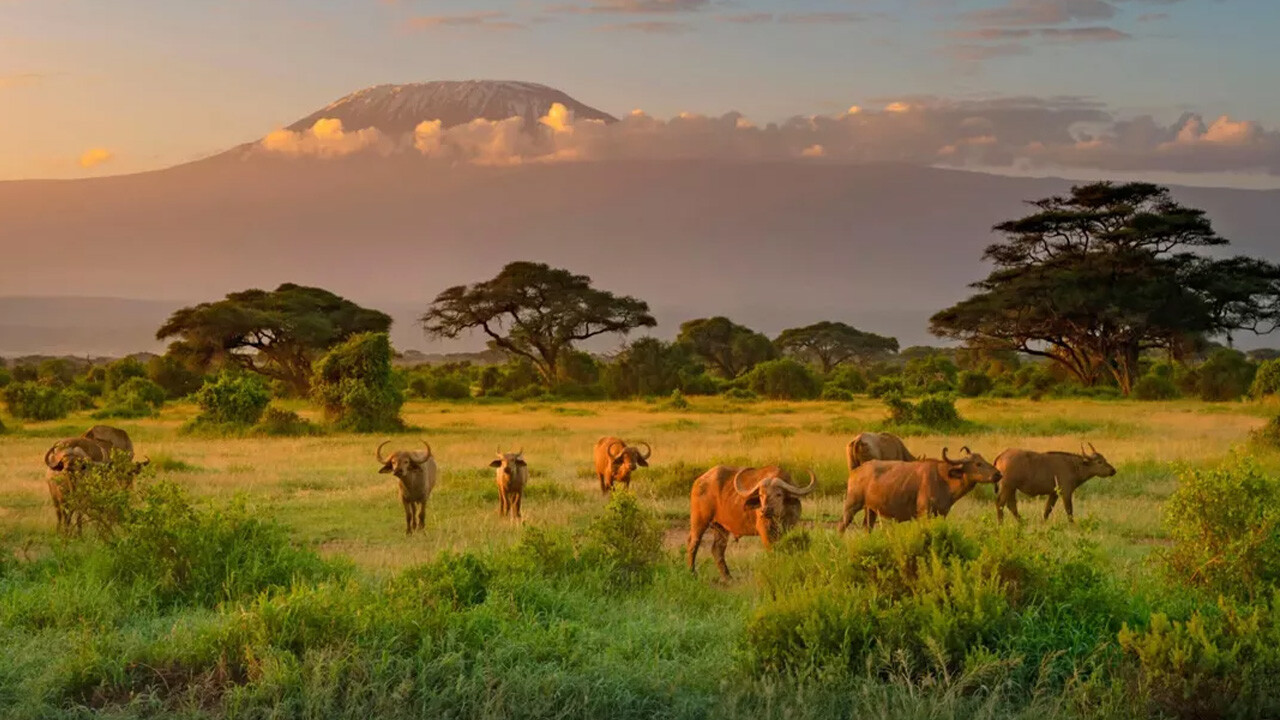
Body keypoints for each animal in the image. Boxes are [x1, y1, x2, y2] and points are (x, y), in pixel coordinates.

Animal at [686, 466, 814, 576]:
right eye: (761, 494)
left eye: (779, 494)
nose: (765, 510)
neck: (779, 515)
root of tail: (699, 481)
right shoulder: (764, 530)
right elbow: (772, 550)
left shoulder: (788, 528)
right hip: (699, 521)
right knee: (693, 544)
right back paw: (692, 572)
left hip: (720, 527)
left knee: (717, 549)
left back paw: (728, 577)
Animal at [834, 445, 1003, 530]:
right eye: (978, 464)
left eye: (983, 460)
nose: (998, 474)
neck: (944, 479)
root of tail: (856, 471)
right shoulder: (924, 513)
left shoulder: (942, 514)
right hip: (852, 505)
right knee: (841, 525)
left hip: (871, 510)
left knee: (867, 528)